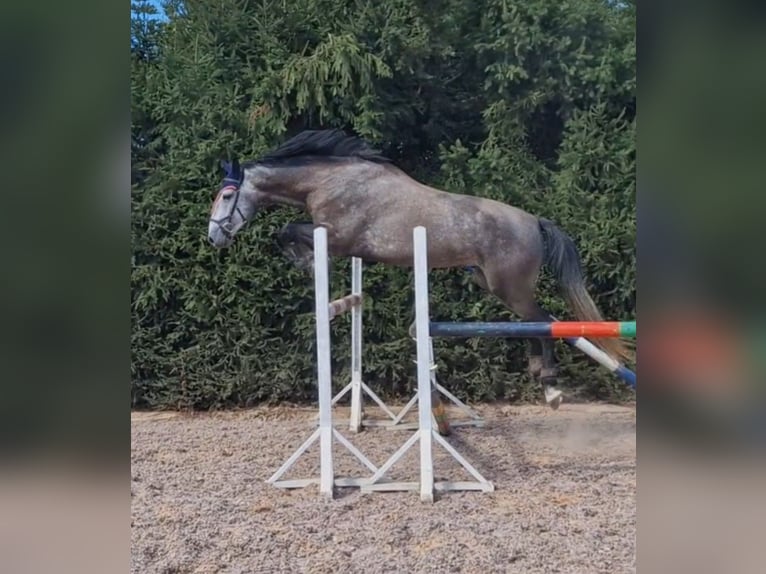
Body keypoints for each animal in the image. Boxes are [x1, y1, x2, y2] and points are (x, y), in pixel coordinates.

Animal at [207, 130, 632, 410]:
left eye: (227, 195)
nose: (214, 237)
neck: (330, 180)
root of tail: (533, 221)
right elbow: (286, 232)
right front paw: (306, 261)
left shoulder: (338, 237)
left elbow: (286, 231)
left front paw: (308, 261)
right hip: (493, 285)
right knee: (535, 322)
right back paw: (539, 374)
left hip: (509, 287)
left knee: (542, 321)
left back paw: (551, 388)